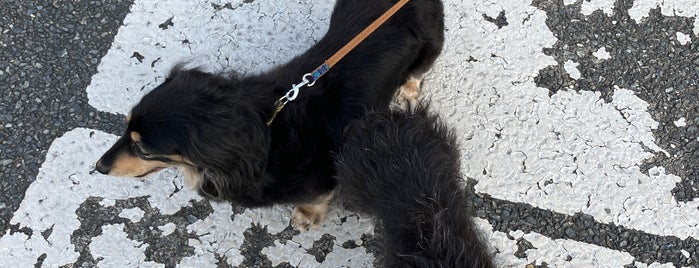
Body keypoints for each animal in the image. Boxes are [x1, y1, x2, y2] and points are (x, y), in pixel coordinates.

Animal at [95, 0, 446, 230]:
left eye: (143, 148)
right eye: (125, 128)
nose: (98, 168)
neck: (265, 133)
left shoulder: (322, 177)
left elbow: (316, 198)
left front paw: (307, 216)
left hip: (430, 44)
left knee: (419, 69)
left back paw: (408, 89)